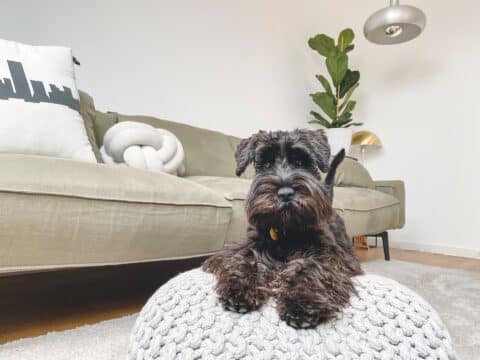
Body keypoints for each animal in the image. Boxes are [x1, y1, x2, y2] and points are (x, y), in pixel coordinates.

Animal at [202, 129, 364, 330]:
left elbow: (309, 267)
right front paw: (238, 288)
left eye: (301, 162)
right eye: (266, 164)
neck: (287, 229)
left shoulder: (328, 255)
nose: (285, 193)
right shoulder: (247, 245)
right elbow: (246, 258)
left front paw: (302, 302)